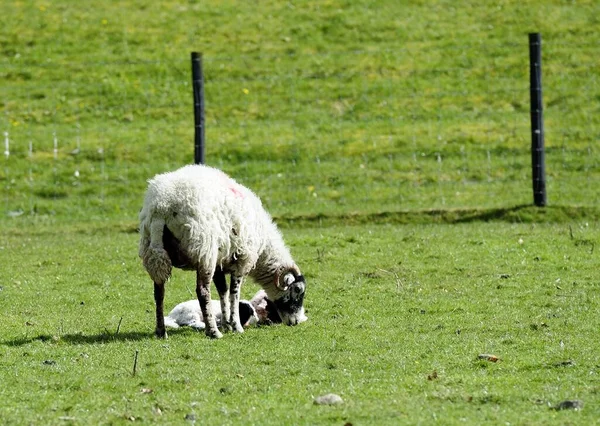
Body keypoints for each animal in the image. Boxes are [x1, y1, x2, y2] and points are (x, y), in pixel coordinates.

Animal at [139, 164, 308, 340]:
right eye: (297, 290)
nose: (295, 322)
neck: (263, 251)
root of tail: (162, 206)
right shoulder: (242, 259)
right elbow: (234, 292)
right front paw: (236, 325)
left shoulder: (220, 262)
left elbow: (223, 291)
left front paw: (227, 324)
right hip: (205, 251)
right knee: (202, 292)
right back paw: (213, 331)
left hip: (154, 249)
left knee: (159, 291)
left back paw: (161, 331)